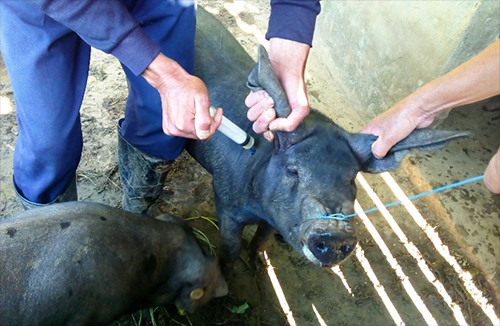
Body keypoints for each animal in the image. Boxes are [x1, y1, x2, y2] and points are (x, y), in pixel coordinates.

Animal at [189, 8, 470, 270]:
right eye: (293, 170)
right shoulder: (226, 204)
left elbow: (263, 237)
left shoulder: (275, 218)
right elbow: (230, 250)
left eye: (351, 179)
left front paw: (259, 264)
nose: (334, 235)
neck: (259, 208)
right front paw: (230, 276)